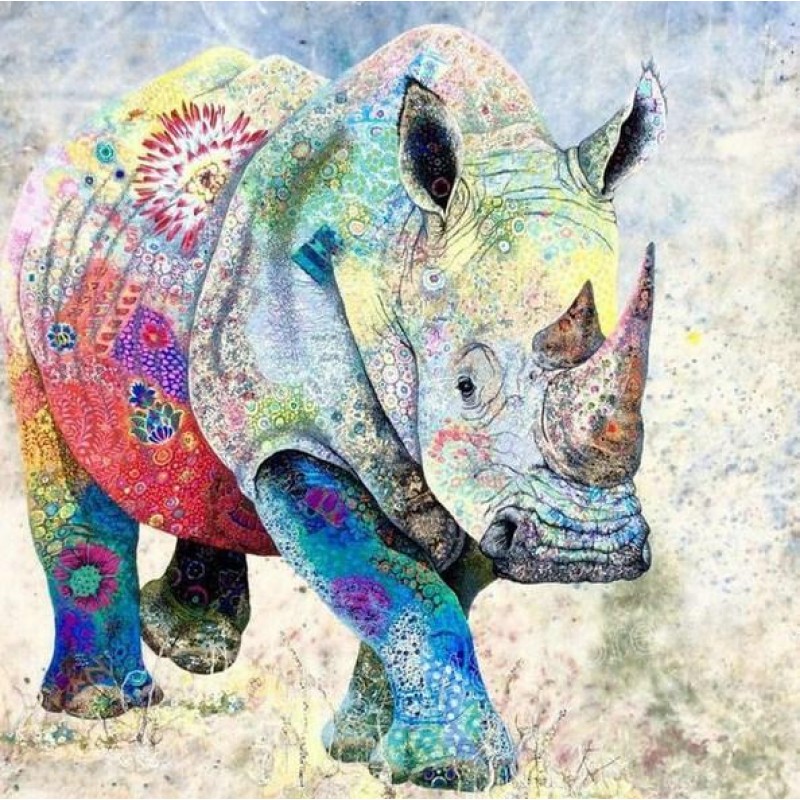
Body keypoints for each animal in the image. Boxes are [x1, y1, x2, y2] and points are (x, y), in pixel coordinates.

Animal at [1, 26, 665, 790]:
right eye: (467, 386)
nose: (586, 550)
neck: (404, 249)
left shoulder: (476, 483)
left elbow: (422, 588)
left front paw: (367, 753)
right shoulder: (300, 434)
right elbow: (401, 587)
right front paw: (454, 773)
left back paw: (189, 648)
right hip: (31, 260)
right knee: (67, 452)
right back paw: (104, 705)